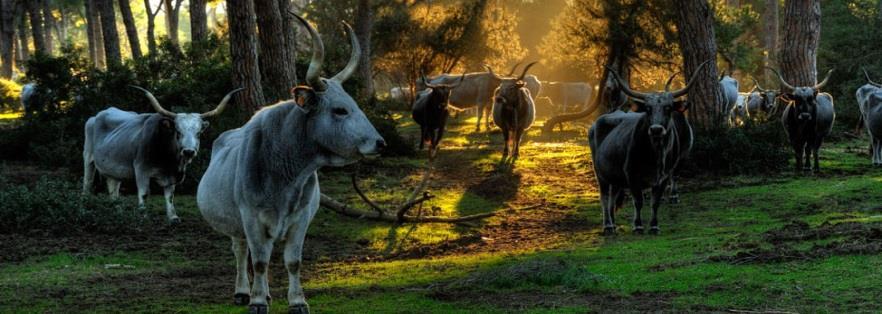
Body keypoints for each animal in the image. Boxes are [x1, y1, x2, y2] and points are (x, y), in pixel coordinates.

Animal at [83, 85, 241, 223]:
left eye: (198, 133)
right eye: (178, 132)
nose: (188, 151)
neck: (169, 161)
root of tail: (96, 116)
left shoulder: (173, 176)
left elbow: (170, 196)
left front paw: (173, 217)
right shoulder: (141, 170)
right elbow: (144, 193)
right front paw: (143, 215)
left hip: (113, 169)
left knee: (113, 188)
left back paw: (117, 211)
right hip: (88, 158)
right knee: (87, 183)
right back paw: (85, 205)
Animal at [196, 14, 382, 314]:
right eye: (340, 110)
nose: (380, 143)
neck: (285, 173)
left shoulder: (300, 220)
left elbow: (293, 262)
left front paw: (297, 301)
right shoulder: (252, 218)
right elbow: (259, 262)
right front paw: (257, 301)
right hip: (236, 224)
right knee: (241, 253)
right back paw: (243, 292)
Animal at [588, 60, 704, 234]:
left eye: (668, 108)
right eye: (648, 109)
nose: (656, 129)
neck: (656, 154)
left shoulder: (663, 177)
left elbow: (655, 202)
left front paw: (654, 226)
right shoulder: (632, 175)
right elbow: (638, 201)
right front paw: (637, 225)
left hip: (615, 175)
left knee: (613, 197)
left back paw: (613, 224)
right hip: (600, 173)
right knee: (604, 197)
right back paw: (607, 225)